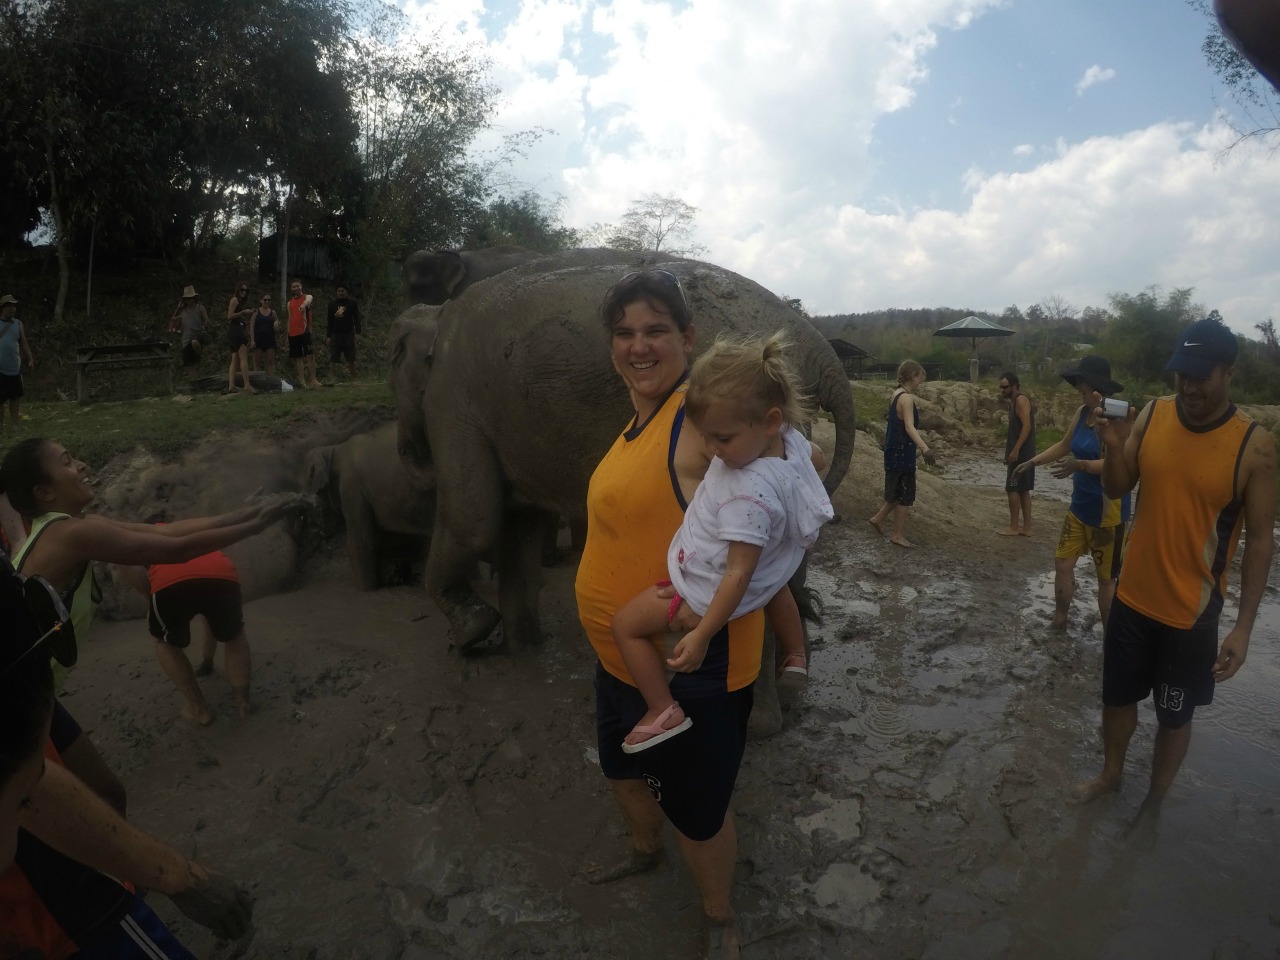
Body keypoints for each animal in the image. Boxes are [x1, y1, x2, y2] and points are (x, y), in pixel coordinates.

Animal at [384, 252, 855, 660]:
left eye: (394, 358)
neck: (439, 313)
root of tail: (815, 344)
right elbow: (518, 525)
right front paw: (521, 650)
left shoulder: (451, 397)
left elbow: (471, 521)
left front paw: (468, 637)